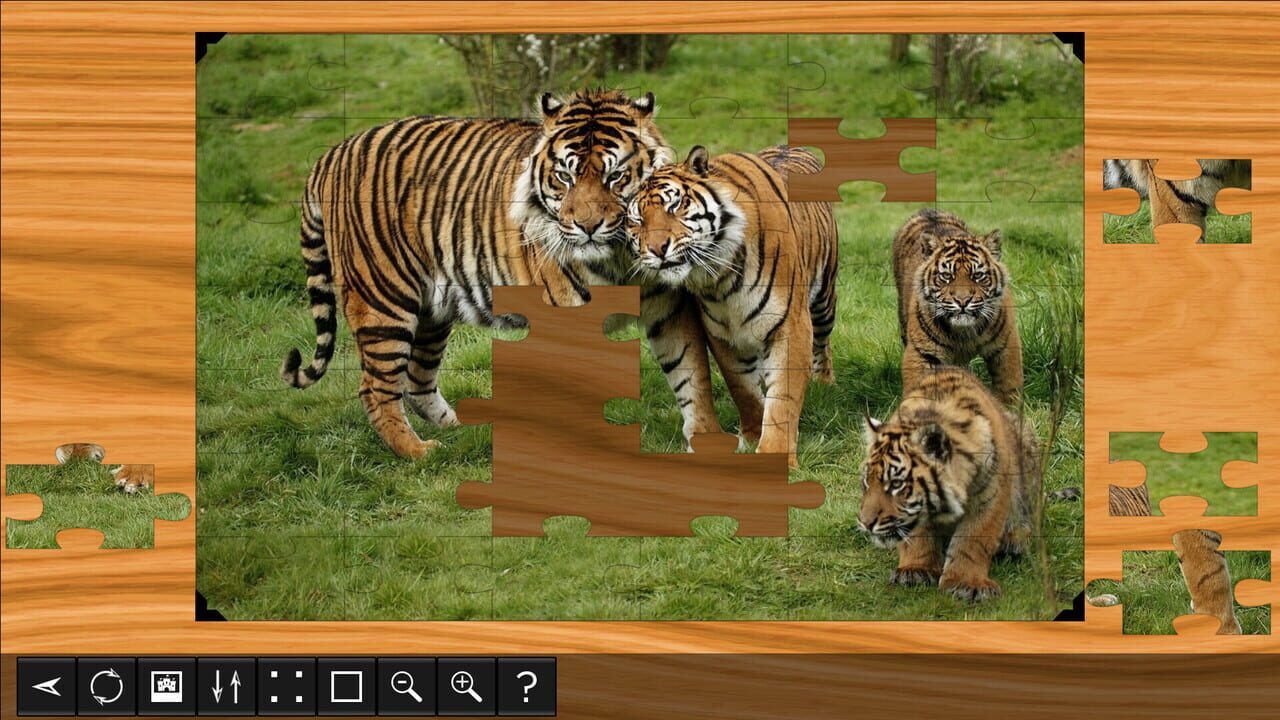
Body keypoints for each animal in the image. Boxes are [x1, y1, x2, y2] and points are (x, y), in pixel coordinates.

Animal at [281, 89, 726, 458]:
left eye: (615, 176)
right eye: (564, 176)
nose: (586, 226)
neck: (620, 255)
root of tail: (332, 153)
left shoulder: (669, 308)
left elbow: (692, 374)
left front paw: (707, 440)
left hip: (431, 310)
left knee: (417, 380)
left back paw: (466, 430)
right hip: (384, 300)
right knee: (375, 388)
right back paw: (418, 451)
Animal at [627, 145, 838, 468]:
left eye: (674, 206)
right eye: (637, 220)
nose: (656, 249)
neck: (718, 278)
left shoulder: (790, 326)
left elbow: (782, 399)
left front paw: (774, 452)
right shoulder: (721, 333)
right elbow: (742, 388)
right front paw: (751, 436)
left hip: (824, 300)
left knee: (823, 344)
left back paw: (825, 382)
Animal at [857, 366, 1040, 601]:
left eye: (896, 483)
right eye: (866, 481)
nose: (865, 523)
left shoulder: (992, 494)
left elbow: (973, 541)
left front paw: (967, 582)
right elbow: (917, 535)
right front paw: (915, 570)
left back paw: (1013, 541)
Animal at [893, 208, 1023, 406]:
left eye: (978, 275)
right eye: (946, 276)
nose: (963, 301)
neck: (964, 333)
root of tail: (928, 210)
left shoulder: (1006, 346)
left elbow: (1008, 386)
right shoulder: (922, 353)